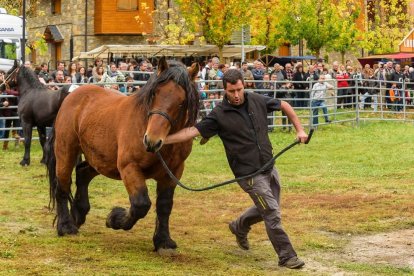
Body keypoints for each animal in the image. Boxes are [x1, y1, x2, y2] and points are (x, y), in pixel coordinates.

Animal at [45, 57, 199, 252]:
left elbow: (164, 205)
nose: (151, 140)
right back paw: (66, 226)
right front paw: (114, 218)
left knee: (82, 173)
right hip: (66, 151)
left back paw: (78, 213)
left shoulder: (173, 172)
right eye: (155, 94)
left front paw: (163, 240)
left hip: (102, 160)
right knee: (62, 185)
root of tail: (71, 94)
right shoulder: (129, 167)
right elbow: (141, 204)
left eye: (182, 101)